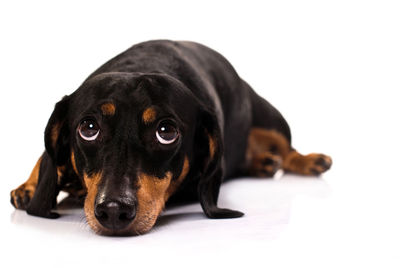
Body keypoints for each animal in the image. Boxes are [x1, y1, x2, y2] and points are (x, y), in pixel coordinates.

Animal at [10, 39, 332, 234]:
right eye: (88, 128)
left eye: (166, 132)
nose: (113, 211)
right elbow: (45, 159)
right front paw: (30, 186)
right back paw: (263, 163)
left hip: (271, 120)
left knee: (287, 148)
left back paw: (307, 161)